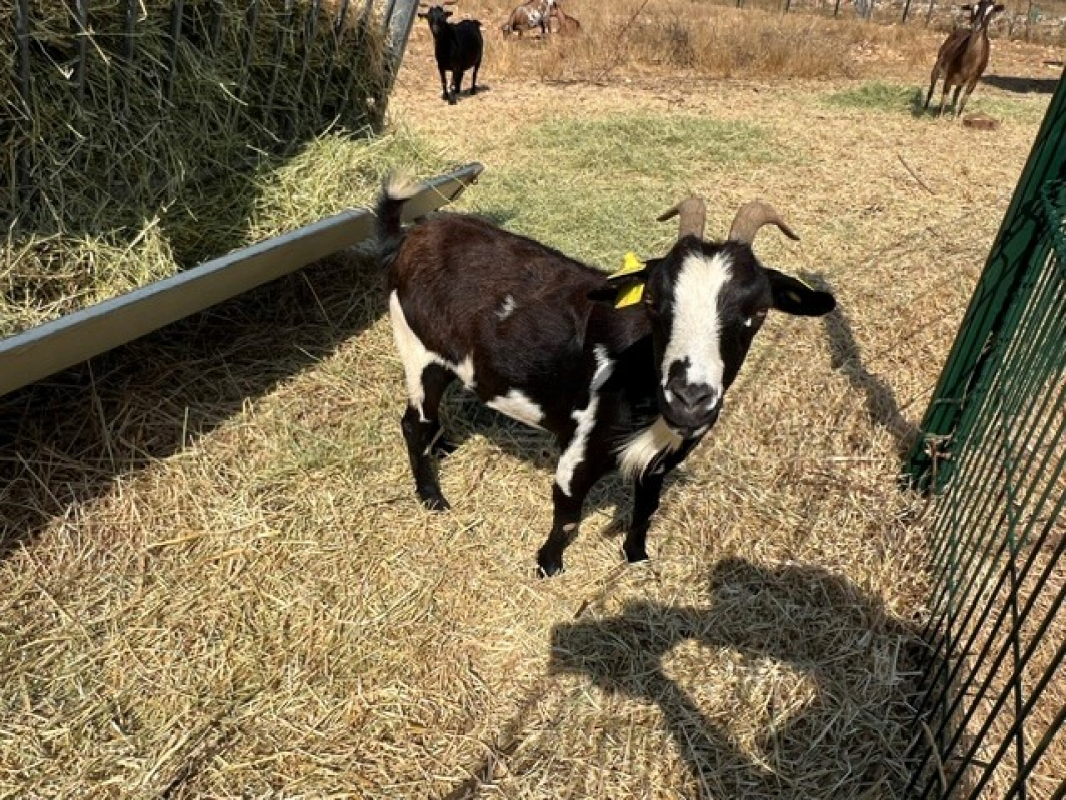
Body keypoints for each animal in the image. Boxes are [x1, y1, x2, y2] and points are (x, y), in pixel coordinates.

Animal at [376, 175, 836, 577]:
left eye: (758, 312)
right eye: (651, 300)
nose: (690, 400)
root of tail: (413, 235)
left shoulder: (662, 457)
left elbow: (646, 508)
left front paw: (636, 558)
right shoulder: (581, 446)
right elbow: (568, 514)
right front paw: (548, 566)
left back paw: (444, 447)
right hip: (417, 349)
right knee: (413, 422)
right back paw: (433, 498)